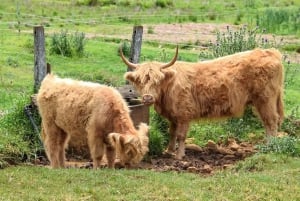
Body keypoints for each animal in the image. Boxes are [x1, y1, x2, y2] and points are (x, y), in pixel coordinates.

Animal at [119, 47, 284, 160]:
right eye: (139, 81)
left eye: (158, 80)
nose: (147, 98)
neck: (169, 87)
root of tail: (270, 51)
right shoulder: (173, 116)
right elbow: (172, 133)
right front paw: (169, 151)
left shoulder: (184, 115)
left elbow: (181, 135)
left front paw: (179, 155)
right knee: (268, 123)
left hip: (265, 99)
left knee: (271, 122)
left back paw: (270, 147)